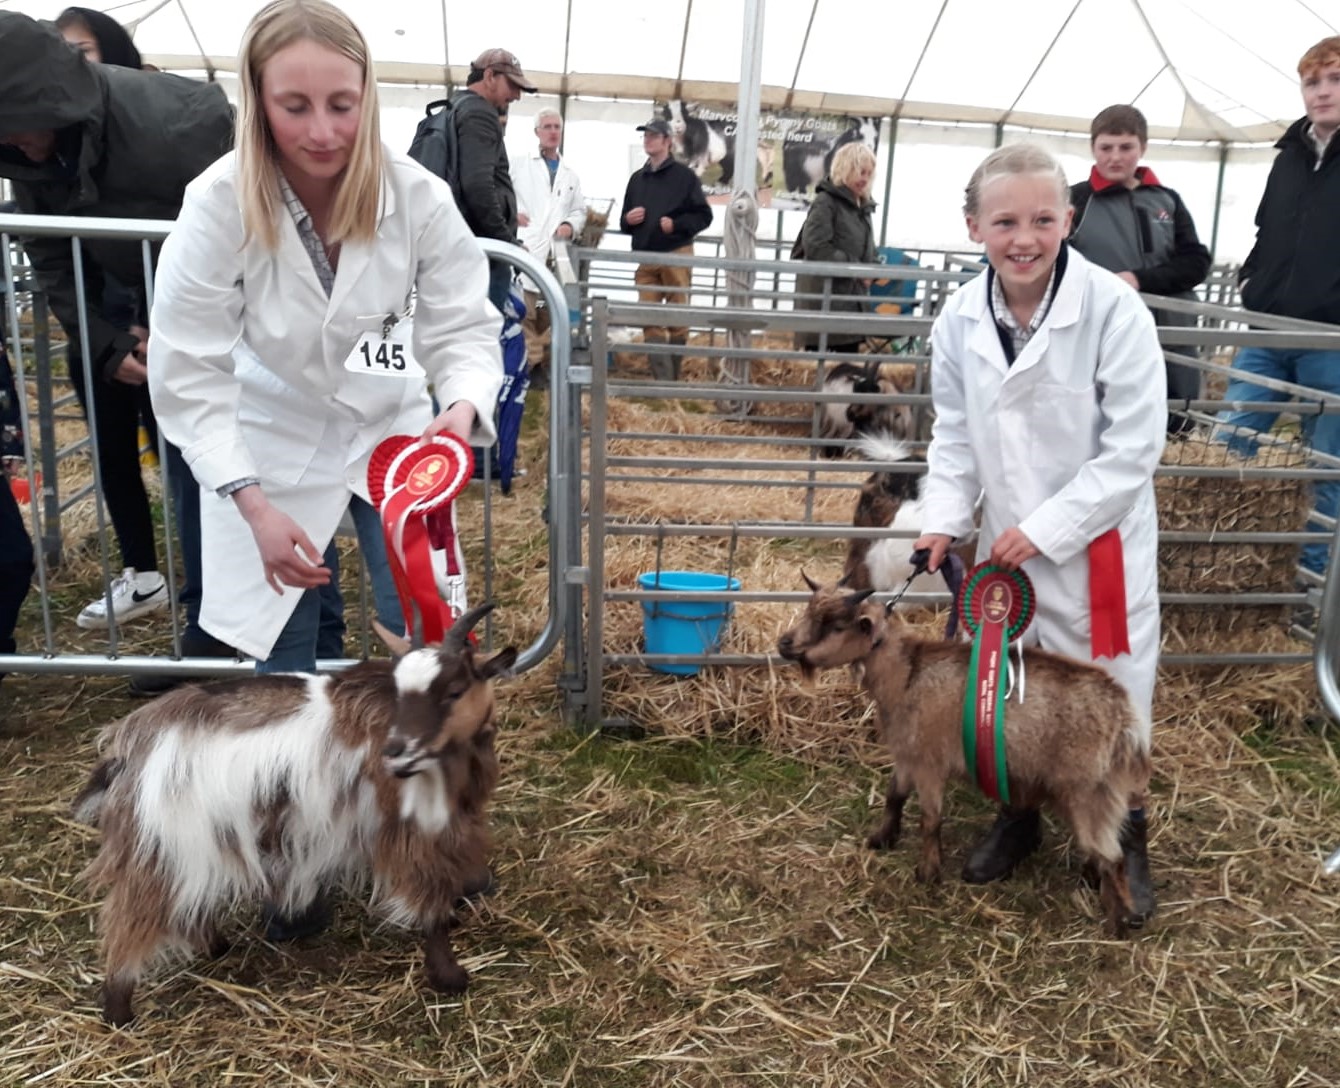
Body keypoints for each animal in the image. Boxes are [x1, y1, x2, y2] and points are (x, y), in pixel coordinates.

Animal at [777, 573, 1152, 937]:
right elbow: (894, 796)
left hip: (1086, 788)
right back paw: (1094, 884)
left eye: (834, 624)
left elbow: (930, 819)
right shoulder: (908, 754)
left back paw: (1120, 922)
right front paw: (881, 839)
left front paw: (928, 873)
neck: (907, 673)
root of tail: (1122, 712)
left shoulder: (929, 761)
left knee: (1113, 856)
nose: (784, 643)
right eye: (811, 610)